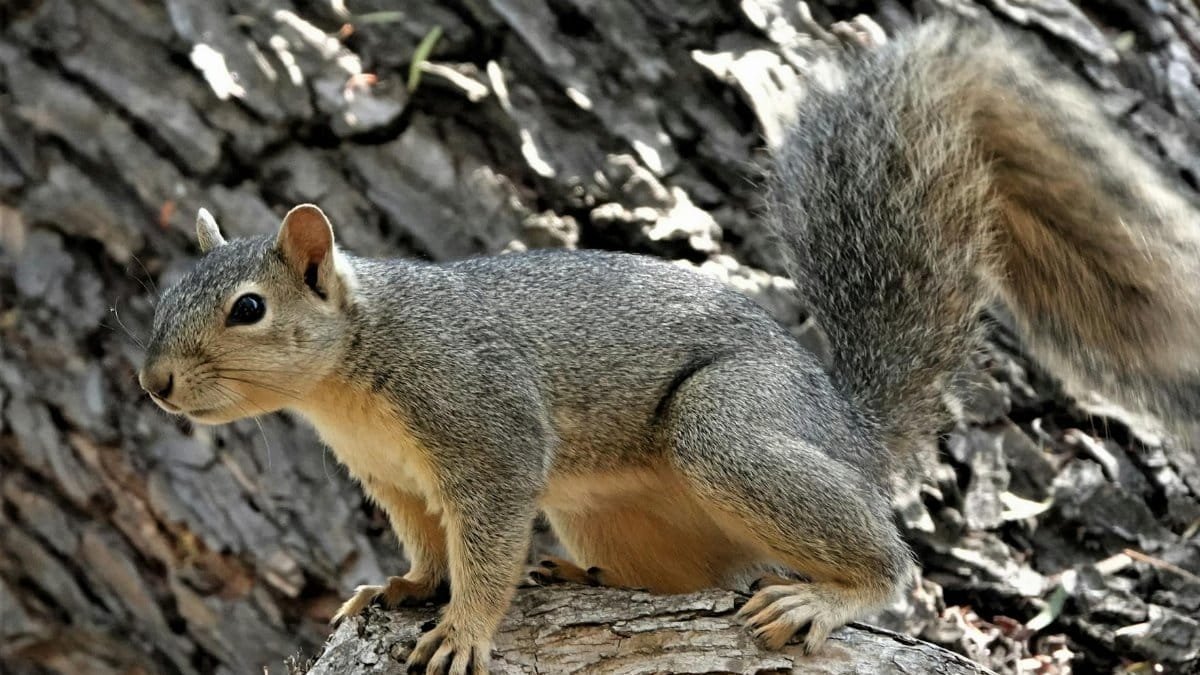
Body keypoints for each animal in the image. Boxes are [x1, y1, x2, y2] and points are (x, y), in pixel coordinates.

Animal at [139, 17, 1200, 675]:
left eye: (246, 309)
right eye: (159, 294)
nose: (154, 382)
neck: (352, 371)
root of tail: (848, 426)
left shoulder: (486, 427)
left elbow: (485, 547)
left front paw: (463, 629)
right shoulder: (395, 478)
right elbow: (428, 545)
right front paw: (399, 587)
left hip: (729, 424)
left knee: (884, 565)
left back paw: (827, 598)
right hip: (614, 510)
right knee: (699, 577)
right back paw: (587, 577)